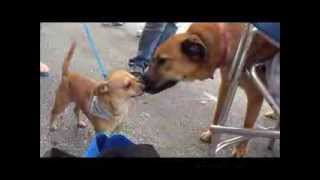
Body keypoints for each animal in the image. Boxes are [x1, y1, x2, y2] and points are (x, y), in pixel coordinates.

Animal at [144, 23, 278, 157]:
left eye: (163, 60)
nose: (141, 80)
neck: (225, 40)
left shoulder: (255, 93)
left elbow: (248, 125)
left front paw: (240, 149)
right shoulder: (226, 85)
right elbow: (218, 114)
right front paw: (211, 135)